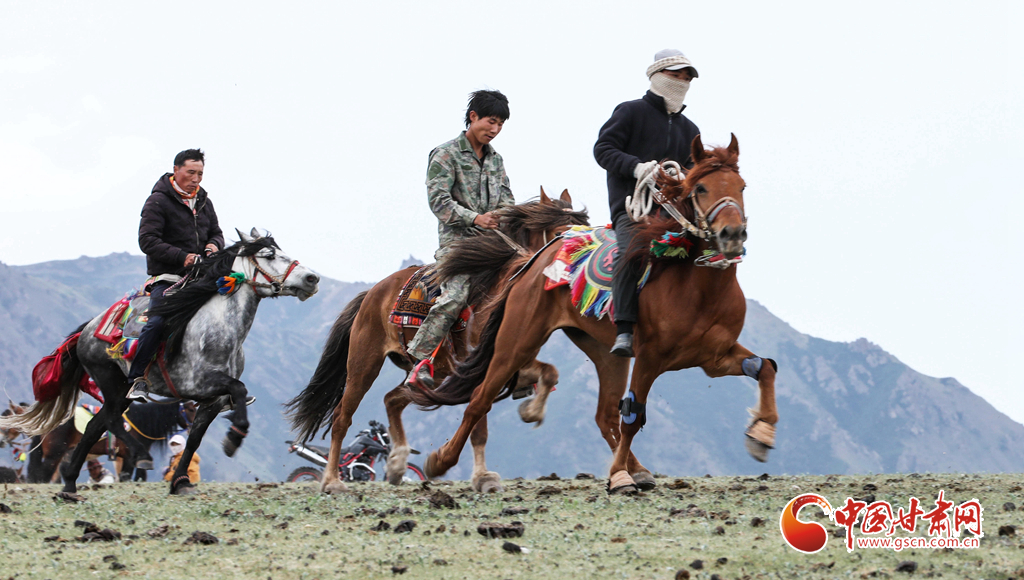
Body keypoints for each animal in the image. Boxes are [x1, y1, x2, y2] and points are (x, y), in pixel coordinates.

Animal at [0, 229, 320, 494]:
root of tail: (88, 330)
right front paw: (234, 438)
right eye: (269, 255)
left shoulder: (212, 401)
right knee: (108, 421)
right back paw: (132, 459)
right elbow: (238, 390)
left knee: (95, 427)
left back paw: (69, 484)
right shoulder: (200, 385)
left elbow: (194, 439)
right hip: (110, 382)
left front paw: (180, 482)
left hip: (120, 392)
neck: (218, 330)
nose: (312, 279)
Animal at [285, 191, 589, 494]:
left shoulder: (512, 361)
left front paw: (530, 412)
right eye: (561, 234)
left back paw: (397, 464)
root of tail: (371, 294)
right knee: (342, 416)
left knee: (391, 399)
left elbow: (549, 373)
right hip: (363, 365)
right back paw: (332, 481)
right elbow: (480, 425)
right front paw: (482, 477)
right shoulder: (481, 366)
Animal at [406, 134, 779, 494]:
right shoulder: (650, 358)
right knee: (479, 399)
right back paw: (442, 461)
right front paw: (616, 476)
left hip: (606, 352)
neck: (701, 290)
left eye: (741, 186)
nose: (732, 234)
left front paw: (762, 433)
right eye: (700, 188)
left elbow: (765, 367)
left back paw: (635, 470)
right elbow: (633, 415)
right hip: (516, 343)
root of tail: (532, 261)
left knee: (604, 415)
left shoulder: (713, 358)